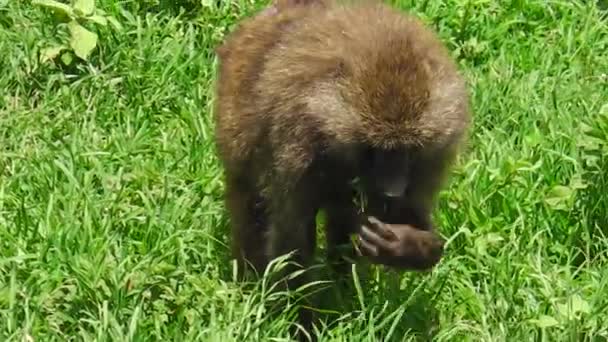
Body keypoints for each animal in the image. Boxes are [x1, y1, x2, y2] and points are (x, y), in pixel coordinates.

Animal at [213, 0, 470, 336]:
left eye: (408, 149)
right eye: (379, 149)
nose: (393, 190)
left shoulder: (431, 156)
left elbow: (410, 216)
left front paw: (406, 245)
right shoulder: (296, 147)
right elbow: (292, 240)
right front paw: (302, 327)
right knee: (251, 206)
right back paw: (250, 284)